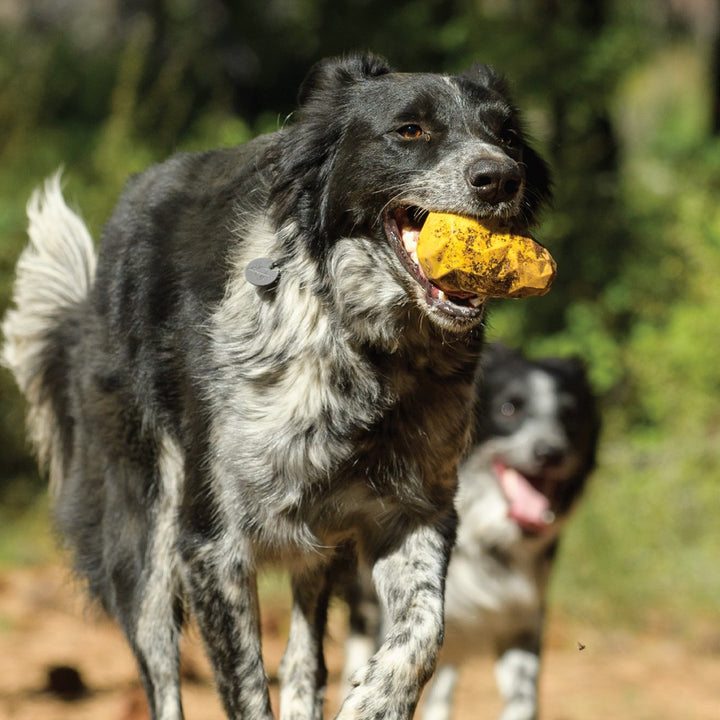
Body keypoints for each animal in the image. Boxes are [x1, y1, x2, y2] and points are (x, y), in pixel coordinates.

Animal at [1, 53, 552, 716]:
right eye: (409, 130)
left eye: (506, 136)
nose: (500, 178)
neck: (362, 346)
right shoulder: (211, 546)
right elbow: (244, 684)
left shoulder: (416, 510)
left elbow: (424, 629)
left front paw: (378, 698)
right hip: (146, 533)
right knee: (160, 668)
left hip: (317, 542)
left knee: (303, 658)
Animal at [340, 344, 600, 720]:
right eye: (509, 408)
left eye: (570, 416)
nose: (551, 453)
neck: (487, 541)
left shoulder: (521, 619)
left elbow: (524, 701)